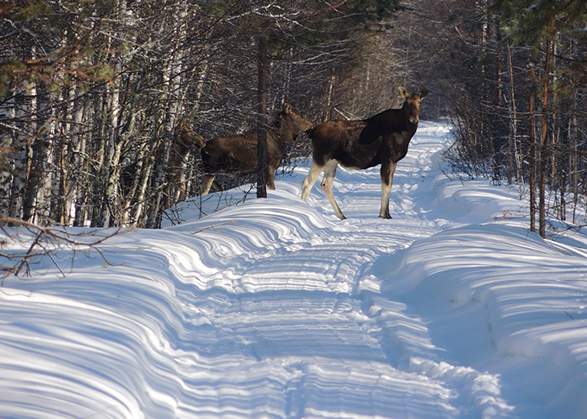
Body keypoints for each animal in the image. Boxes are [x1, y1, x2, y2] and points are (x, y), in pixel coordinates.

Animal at [300, 87, 430, 221]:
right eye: (407, 102)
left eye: (419, 102)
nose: (413, 119)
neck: (405, 132)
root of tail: (312, 131)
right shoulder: (387, 158)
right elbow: (386, 186)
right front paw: (383, 214)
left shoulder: (394, 161)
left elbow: (390, 185)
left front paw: (388, 214)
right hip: (321, 156)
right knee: (307, 183)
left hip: (332, 160)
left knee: (325, 183)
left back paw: (342, 215)